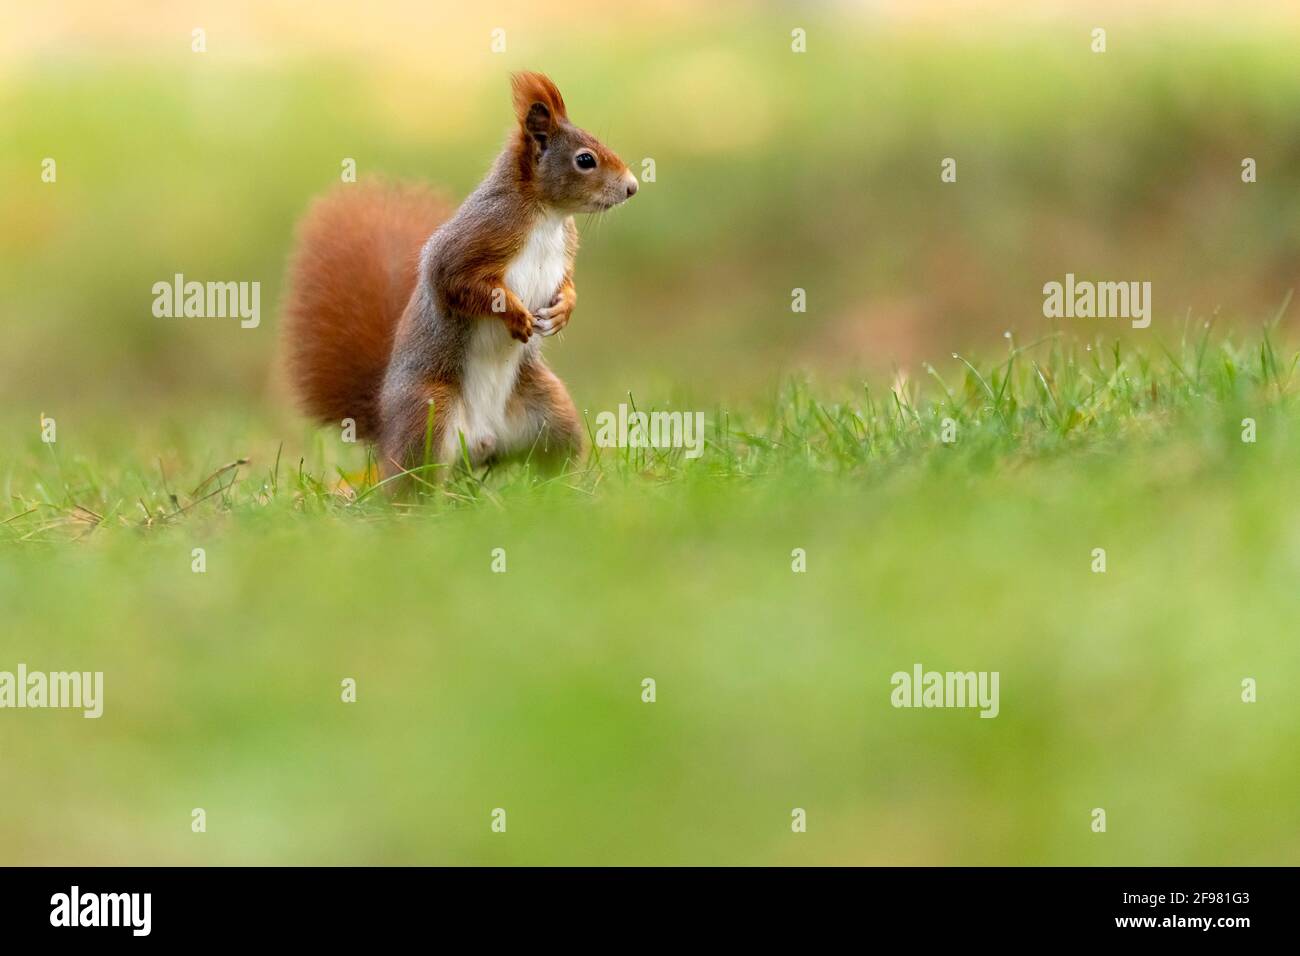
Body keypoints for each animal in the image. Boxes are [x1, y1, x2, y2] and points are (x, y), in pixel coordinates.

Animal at [282, 69, 637, 478]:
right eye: (585, 159)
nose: (632, 187)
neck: (548, 216)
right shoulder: (475, 239)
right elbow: (456, 283)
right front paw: (514, 314)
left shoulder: (565, 248)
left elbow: (565, 284)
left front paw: (563, 311)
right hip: (428, 412)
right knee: (414, 479)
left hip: (549, 409)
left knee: (555, 453)